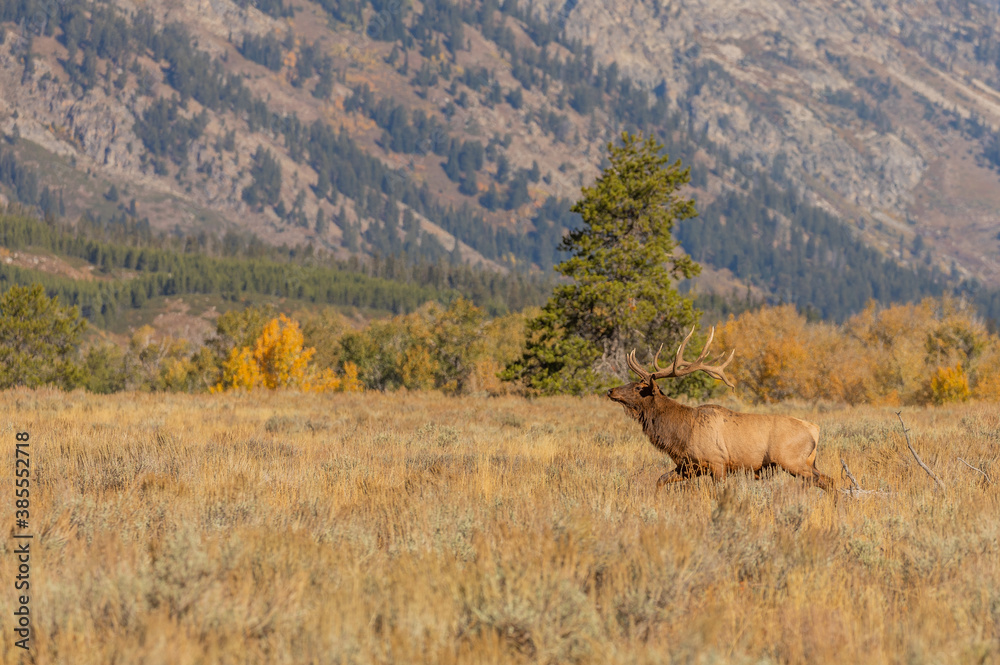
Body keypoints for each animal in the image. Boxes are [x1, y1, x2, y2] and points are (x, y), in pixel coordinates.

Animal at [607, 327, 833, 493]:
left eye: (638, 388)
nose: (610, 390)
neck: (680, 435)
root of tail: (815, 429)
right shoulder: (688, 467)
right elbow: (660, 480)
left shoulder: (717, 463)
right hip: (808, 462)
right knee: (827, 480)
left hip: (792, 461)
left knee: (828, 481)